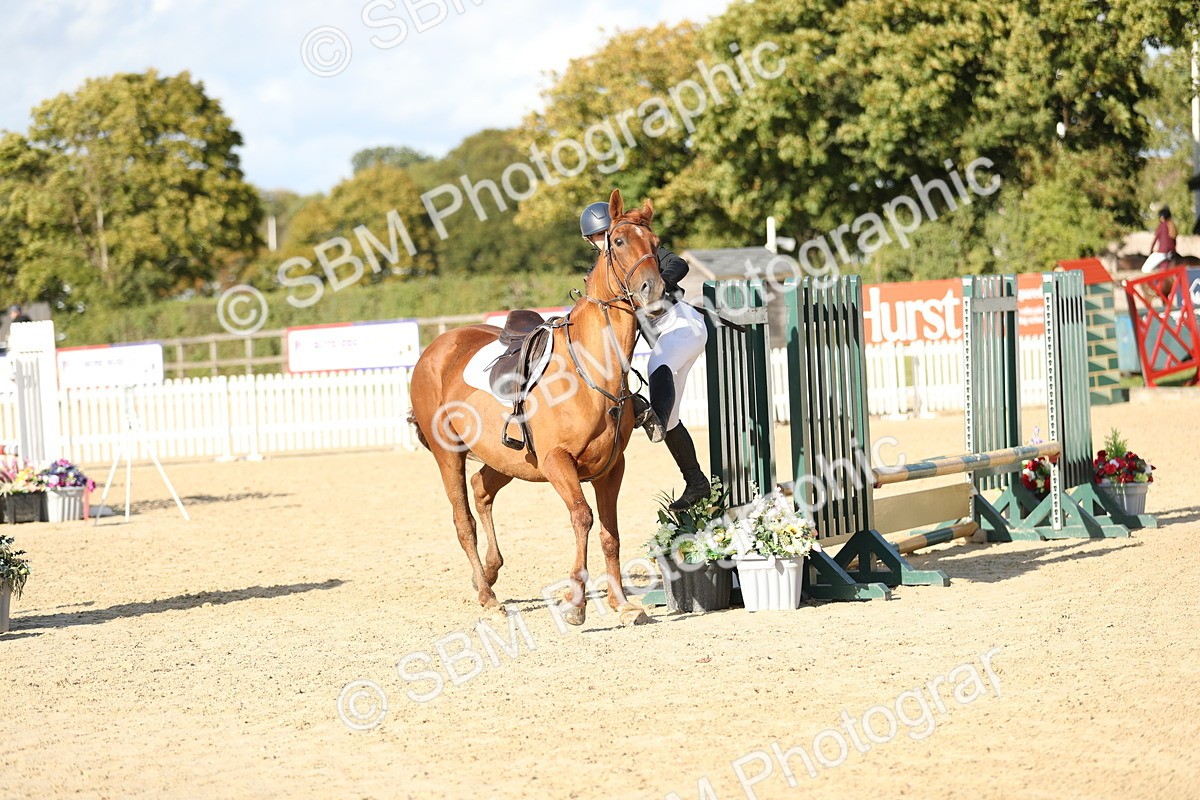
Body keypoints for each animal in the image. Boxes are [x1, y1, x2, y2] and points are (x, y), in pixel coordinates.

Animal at [408, 190, 664, 627]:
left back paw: (490, 573)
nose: (655, 291)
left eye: (656, 243)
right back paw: (487, 595)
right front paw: (576, 603)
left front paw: (621, 603)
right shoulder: (557, 462)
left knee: (482, 489)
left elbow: (610, 533)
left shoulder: (611, 468)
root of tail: (436, 347)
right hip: (449, 454)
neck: (592, 370)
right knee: (463, 520)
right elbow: (582, 517)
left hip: (506, 459)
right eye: (617, 242)